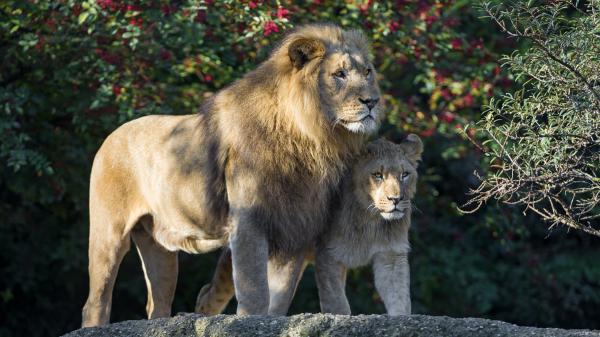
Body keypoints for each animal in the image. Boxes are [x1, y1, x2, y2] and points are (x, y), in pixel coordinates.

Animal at [81, 23, 380, 326]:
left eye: (368, 72)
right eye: (339, 74)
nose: (373, 101)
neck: (313, 138)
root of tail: (111, 136)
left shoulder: (295, 226)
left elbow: (279, 297)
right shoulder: (249, 220)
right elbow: (255, 289)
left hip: (159, 248)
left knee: (159, 303)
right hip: (108, 235)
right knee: (95, 301)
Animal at [197, 134, 422, 316]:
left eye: (405, 174)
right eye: (377, 175)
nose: (396, 199)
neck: (371, 219)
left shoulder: (391, 256)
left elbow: (399, 297)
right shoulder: (328, 255)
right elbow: (336, 302)